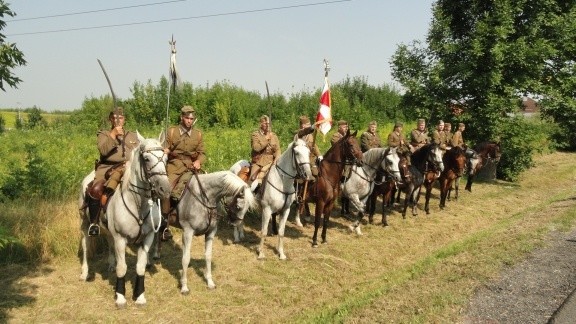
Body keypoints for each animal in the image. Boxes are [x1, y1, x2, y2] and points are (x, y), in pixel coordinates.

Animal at [80, 133, 172, 308]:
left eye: (165, 158)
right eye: (146, 159)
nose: (165, 189)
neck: (137, 203)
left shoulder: (147, 238)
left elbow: (140, 267)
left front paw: (140, 296)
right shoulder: (121, 239)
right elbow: (122, 268)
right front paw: (121, 297)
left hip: (109, 231)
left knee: (109, 242)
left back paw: (110, 263)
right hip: (84, 223)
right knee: (86, 245)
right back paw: (84, 272)